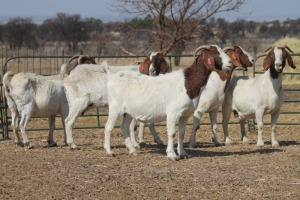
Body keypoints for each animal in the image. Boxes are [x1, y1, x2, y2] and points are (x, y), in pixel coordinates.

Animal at [104, 44, 233, 160]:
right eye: (215, 52)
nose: (230, 63)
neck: (187, 82)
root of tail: (113, 77)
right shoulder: (172, 113)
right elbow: (172, 133)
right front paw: (171, 155)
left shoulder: (185, 114)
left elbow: (181, 133)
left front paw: (183, 153)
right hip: (115, 107)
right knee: (108, 127)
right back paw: (109, 152)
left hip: (128, 112)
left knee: (124, 127)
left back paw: (132, 150)